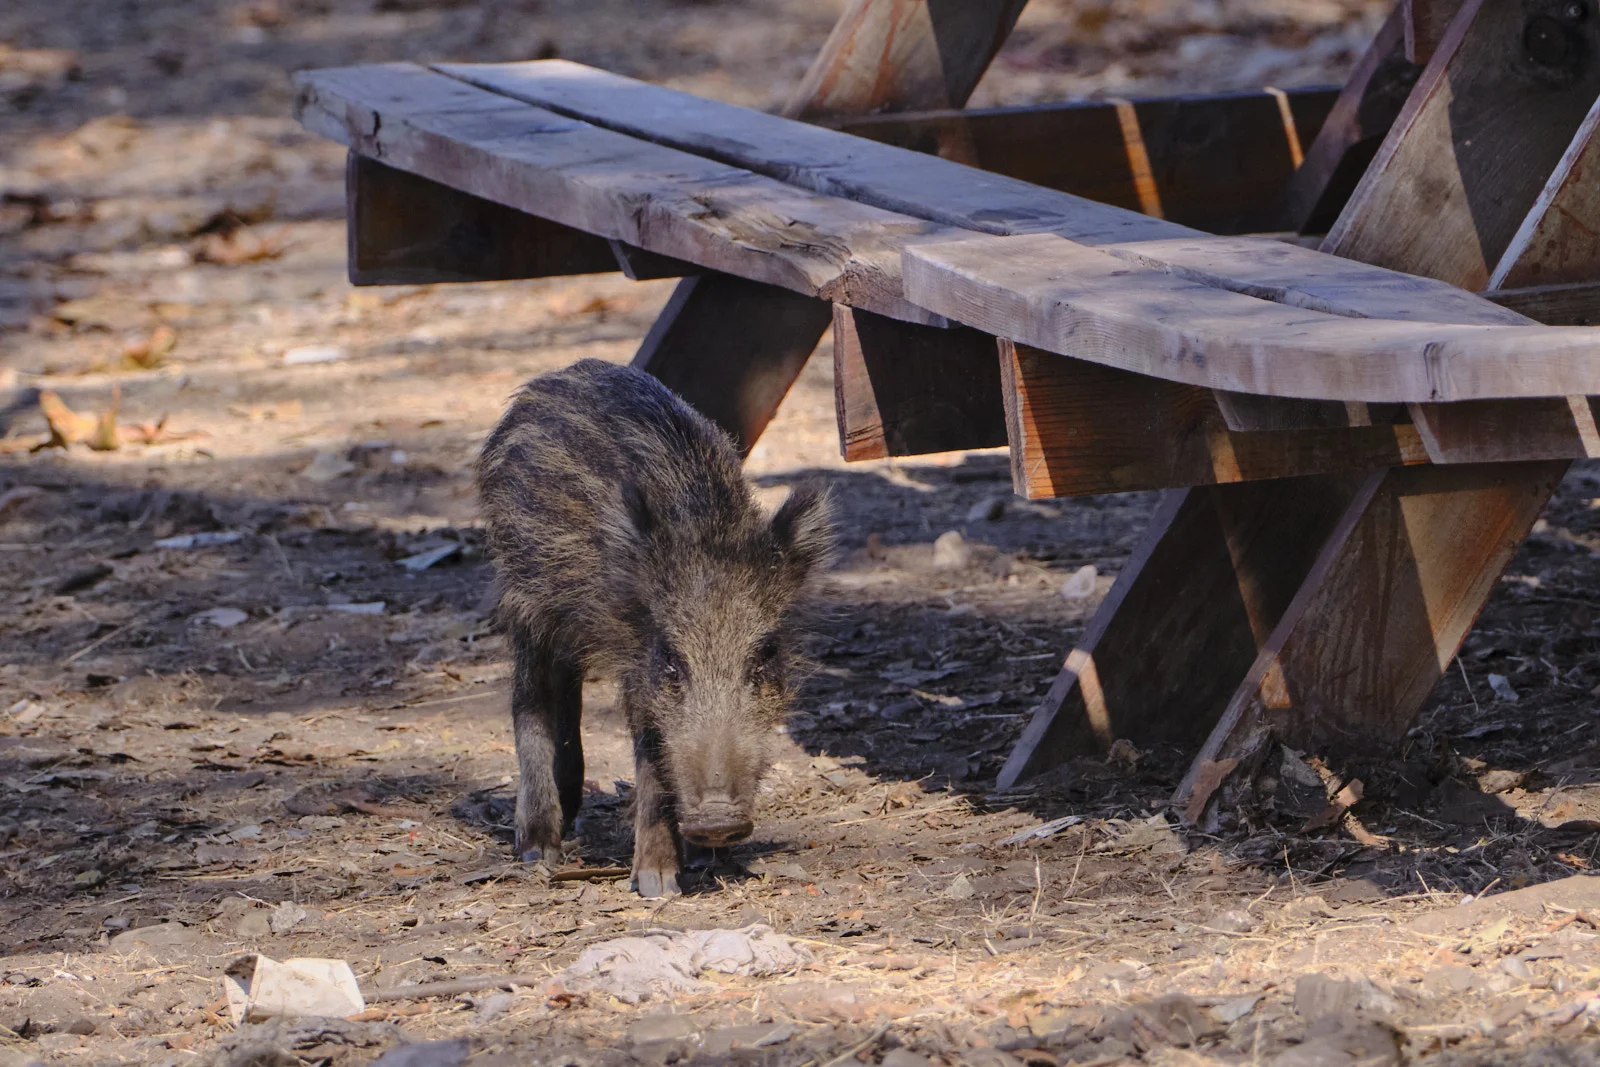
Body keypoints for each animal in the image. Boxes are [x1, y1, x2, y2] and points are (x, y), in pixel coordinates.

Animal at [475, 359, 832, 897]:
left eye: (766, 653)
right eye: (671, 660)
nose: (717, 822)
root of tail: (551, 379)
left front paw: (684, 867)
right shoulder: (637, 663)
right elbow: (650, 748)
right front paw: (658, 883)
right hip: (523, 594)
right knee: (529, 700)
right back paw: (539, 850)